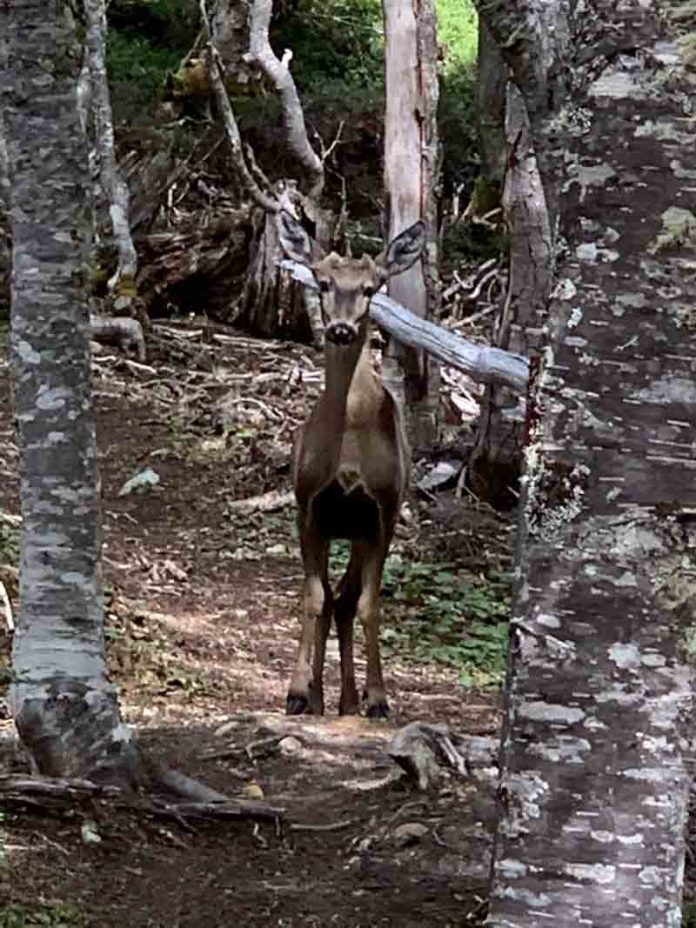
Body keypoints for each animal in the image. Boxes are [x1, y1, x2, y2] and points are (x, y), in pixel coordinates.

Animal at [278, 210, 424, 716]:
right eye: (322, 281)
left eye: (371, 287)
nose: (341, 328)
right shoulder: (309, 506)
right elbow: (311, 598)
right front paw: (298, 691)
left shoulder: (381, 511)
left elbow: (368, 605)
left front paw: (378, 697)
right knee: (331, 599)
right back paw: (322, 697)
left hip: (360, 531)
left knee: (346, 599)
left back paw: (348, 701)